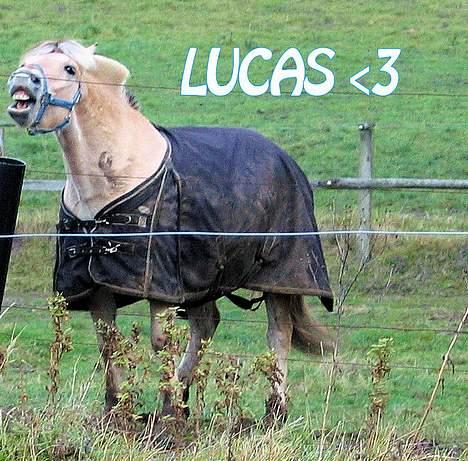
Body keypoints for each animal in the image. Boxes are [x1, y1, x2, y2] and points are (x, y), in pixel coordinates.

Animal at [8, 40, 336, 428]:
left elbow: (162, 341)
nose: (21, 82)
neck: (116, 173)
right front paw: (119, 412)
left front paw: (166, 415)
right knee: (206, 325)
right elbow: (109, 343)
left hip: (279, 279)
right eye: (26, 60)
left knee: (278, 333)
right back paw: (184, 398)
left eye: (69, 68)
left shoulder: (160, 285)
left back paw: (274, 411)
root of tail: (284, 158)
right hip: (202, 280)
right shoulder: (99, 285)